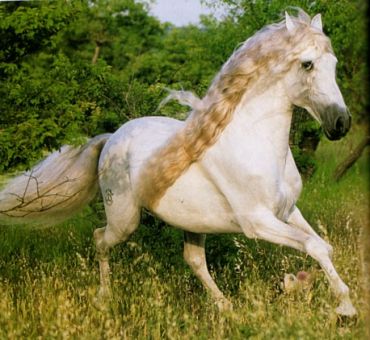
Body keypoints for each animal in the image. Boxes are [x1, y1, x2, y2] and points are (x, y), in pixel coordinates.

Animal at [0, 11, 358, 318]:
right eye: (307, 64)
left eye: (334, 63)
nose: (341, 123)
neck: (258, 145)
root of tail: (111, 138)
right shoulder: (258, 222)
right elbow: (315, 245)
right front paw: (345, 308)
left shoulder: (288, 211)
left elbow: (324, 246)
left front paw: (311, 289)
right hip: (124, 219)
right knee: (100, 239)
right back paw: (104, 298)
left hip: (194, 221)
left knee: (194, 260)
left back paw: (226, 306)